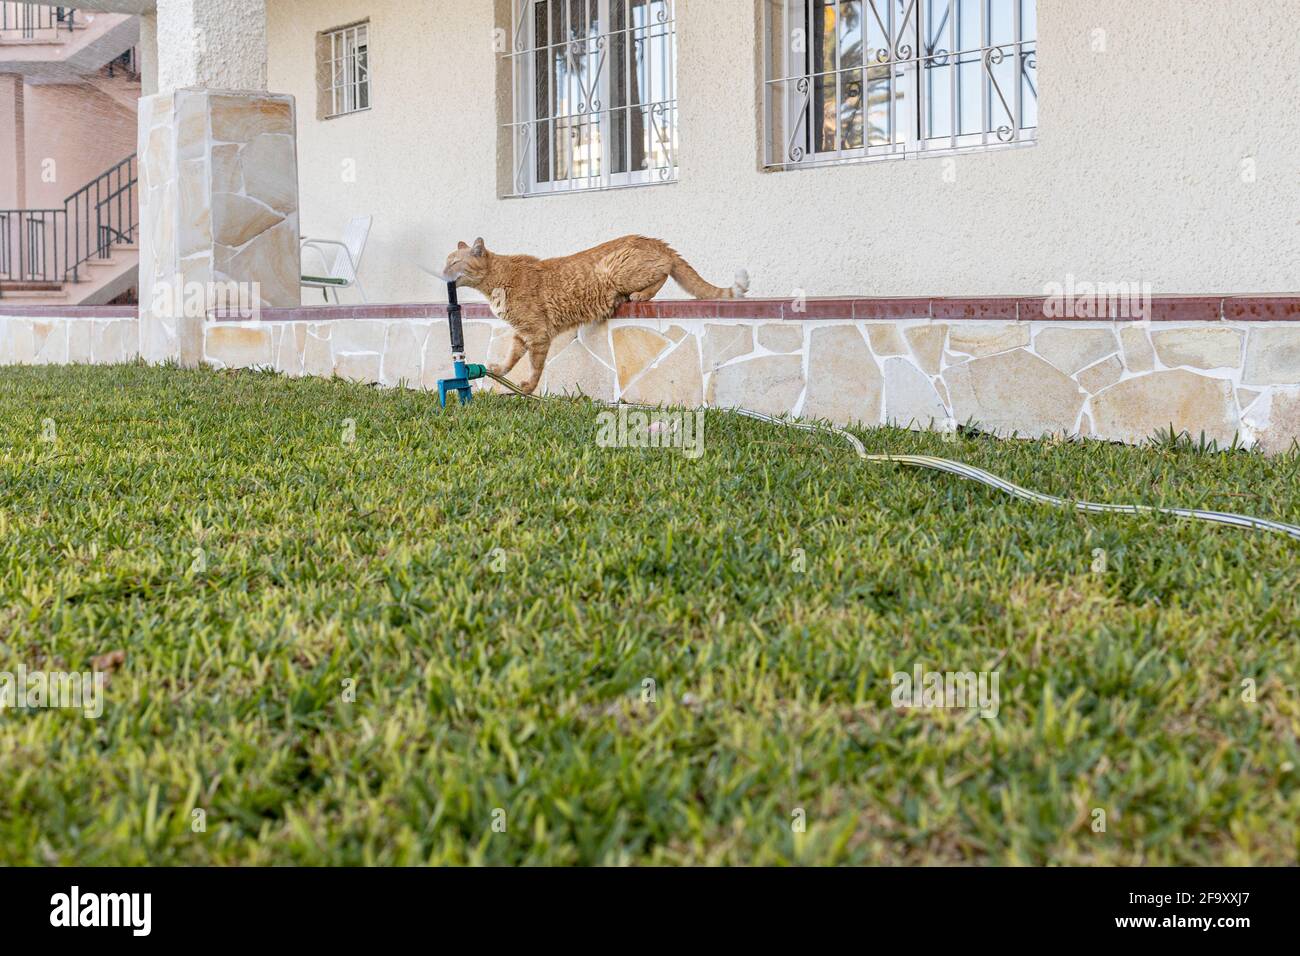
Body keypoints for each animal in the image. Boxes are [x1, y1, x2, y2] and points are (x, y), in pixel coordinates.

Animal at [444, 238, 754, 395]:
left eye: (455, 262)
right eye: (446, 262)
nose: (443, 272)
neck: (497, 281)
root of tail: (656, 242)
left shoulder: (538, 333)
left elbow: (535, 366)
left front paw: (528, 388)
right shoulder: (522, 333)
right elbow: (511, 358)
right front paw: (498, 370)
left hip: (616, 269)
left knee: (664, 271)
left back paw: (637, 296)